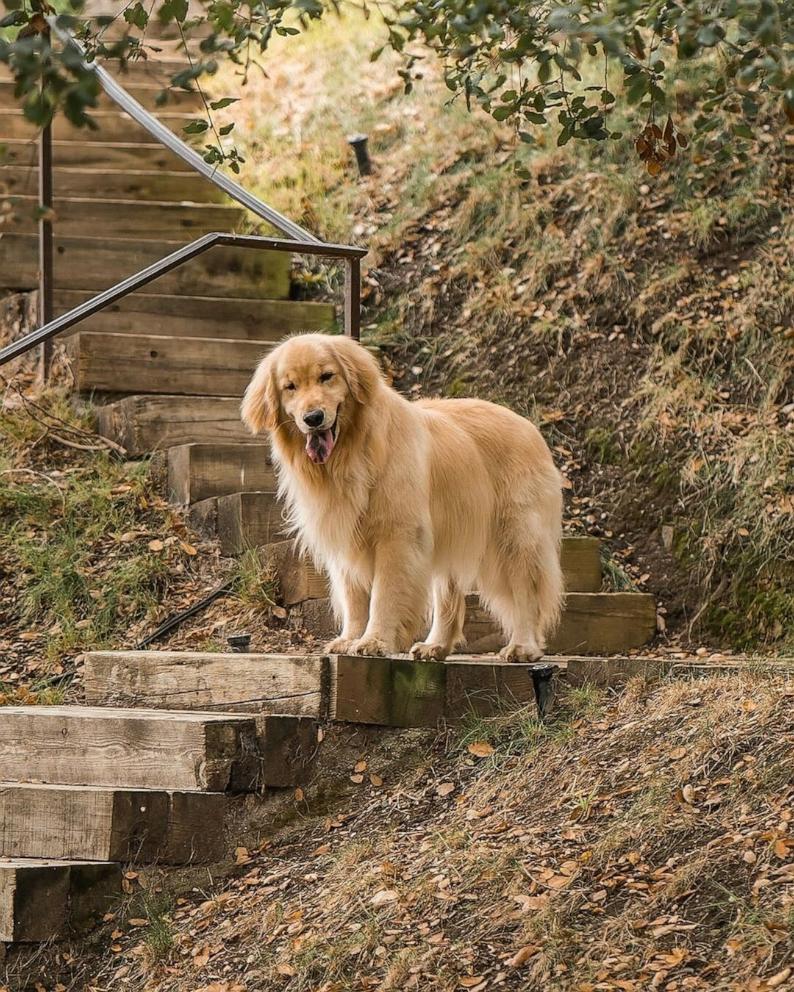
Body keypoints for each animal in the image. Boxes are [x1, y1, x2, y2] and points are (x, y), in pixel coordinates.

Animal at [241, 332, 564, 660]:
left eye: (326, 376)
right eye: (290, 386)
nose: (313, 417)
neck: (352, 453)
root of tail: (529, 426)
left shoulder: (397, 535)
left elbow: (384, 594)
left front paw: (375, 640)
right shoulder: (345, 536)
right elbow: (353, 596)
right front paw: (350, 638)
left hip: (515, 538)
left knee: (525, 593)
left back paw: (523, 646)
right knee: (448, 594)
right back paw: (436, 645)